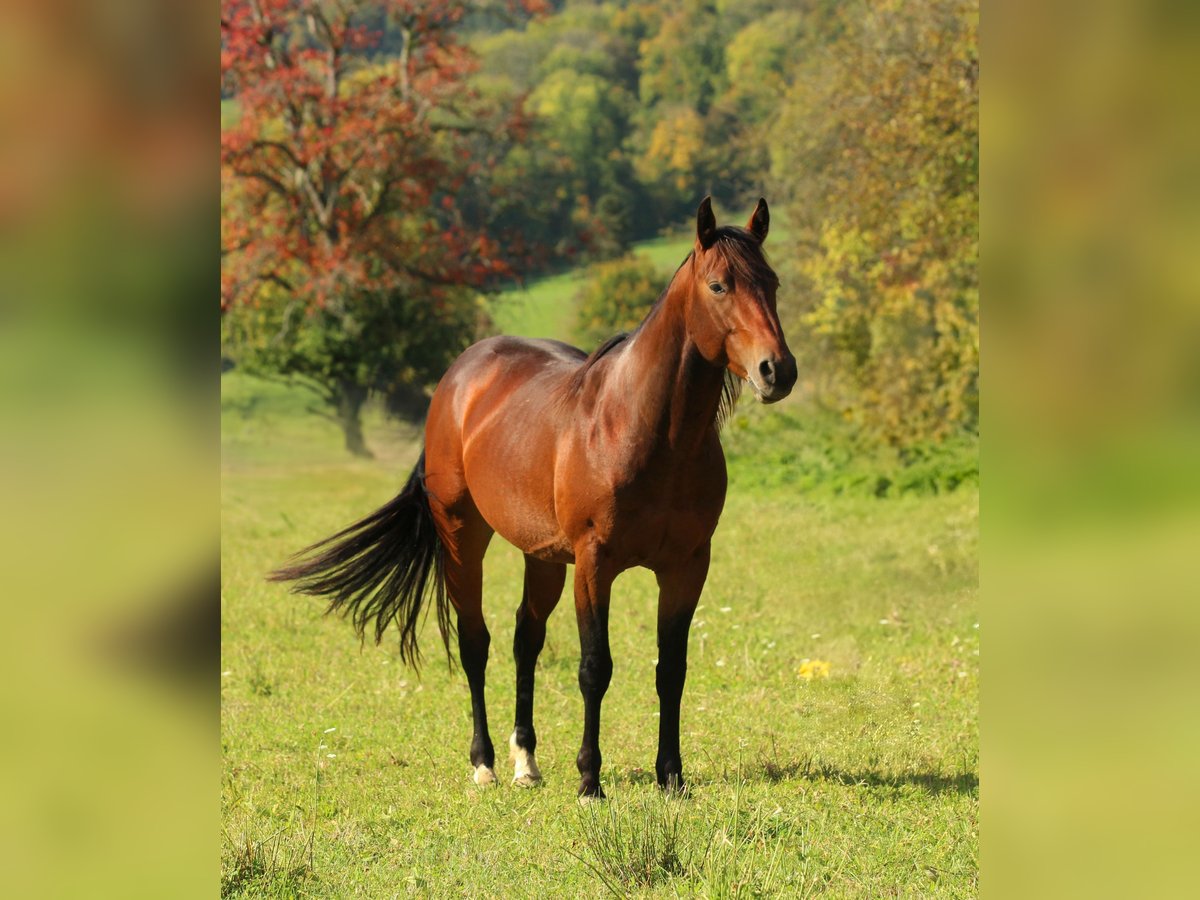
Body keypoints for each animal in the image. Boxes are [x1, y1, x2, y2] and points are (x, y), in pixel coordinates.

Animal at [271, 197, 796, 798]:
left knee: (526, 639)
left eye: (772, 282)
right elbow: (595, 668)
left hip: (542, 556)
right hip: (463, 537)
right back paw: (485, 764)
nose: (777, 370)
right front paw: (590, 780)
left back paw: (526, 761)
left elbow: (672, 670)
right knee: (475, 642)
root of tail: (459, 377)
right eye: (718, 286)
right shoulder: (595, 564)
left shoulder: (686, 566)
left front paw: (672, 777)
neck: (646, 430)